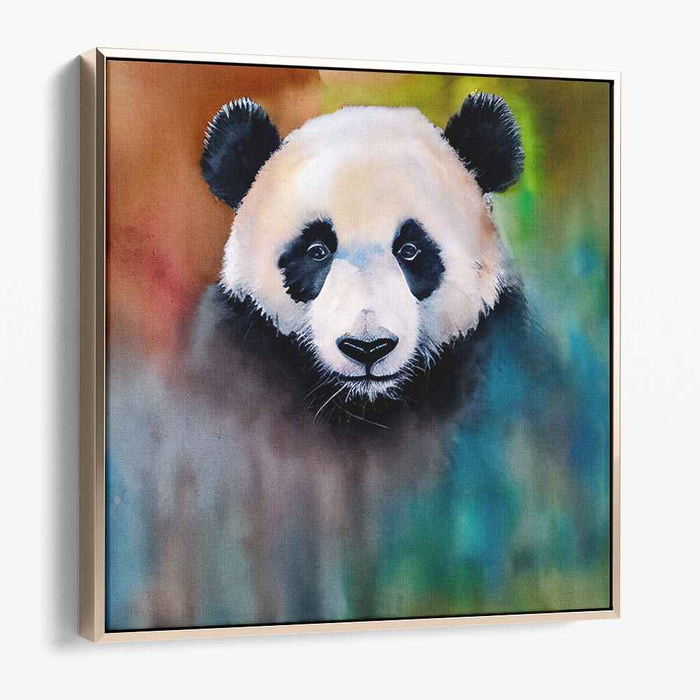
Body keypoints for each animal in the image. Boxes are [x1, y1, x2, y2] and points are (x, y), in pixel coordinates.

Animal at [105, 94, 594, 630]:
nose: (367, 348)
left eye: (411, 250)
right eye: (317, 249)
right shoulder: (234, 360)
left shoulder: (498, 362)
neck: (363, 407)